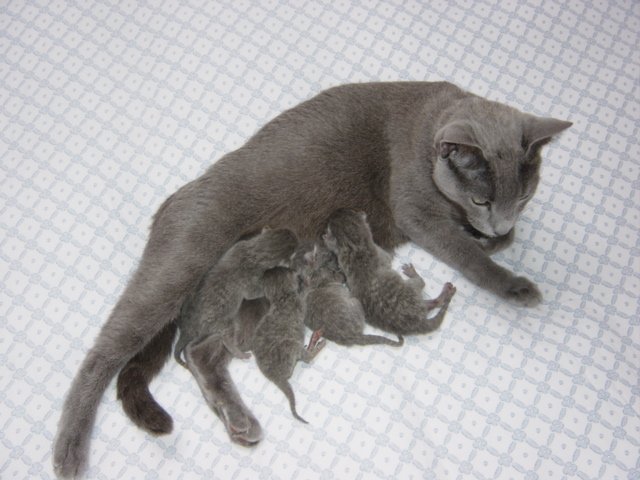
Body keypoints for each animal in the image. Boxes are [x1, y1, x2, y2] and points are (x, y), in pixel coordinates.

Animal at [53, 81, 571, 479]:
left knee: (202, 352)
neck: (428, 130)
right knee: (103, 353)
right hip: (181, 265)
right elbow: (467, 255)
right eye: (483, 198)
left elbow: (483, 241)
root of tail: (172, 202)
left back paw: (238, 420)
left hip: (235, 299)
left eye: (524, 197)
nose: (500, 221)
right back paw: (69, 453)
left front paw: (497, 239)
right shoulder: (416, 209)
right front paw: (514, 282)